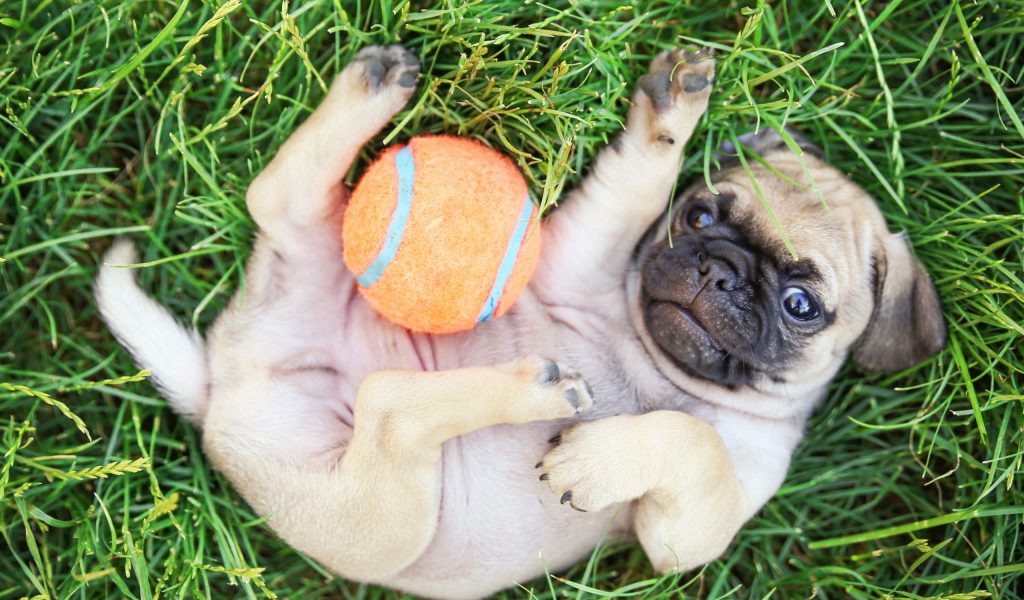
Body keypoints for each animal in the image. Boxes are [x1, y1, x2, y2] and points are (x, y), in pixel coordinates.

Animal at [94, 44, 942, 593]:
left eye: (801, 305)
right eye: (700, 216)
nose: (721, 271)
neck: (654, 361)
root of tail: (229, 377)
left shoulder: (701, 526)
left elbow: (691, 439)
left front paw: (594, 461)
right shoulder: (597, 242)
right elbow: (642, 177)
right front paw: (675, 106)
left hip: (373, 498)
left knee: (365, 366)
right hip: (381, 510)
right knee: (380, 385)